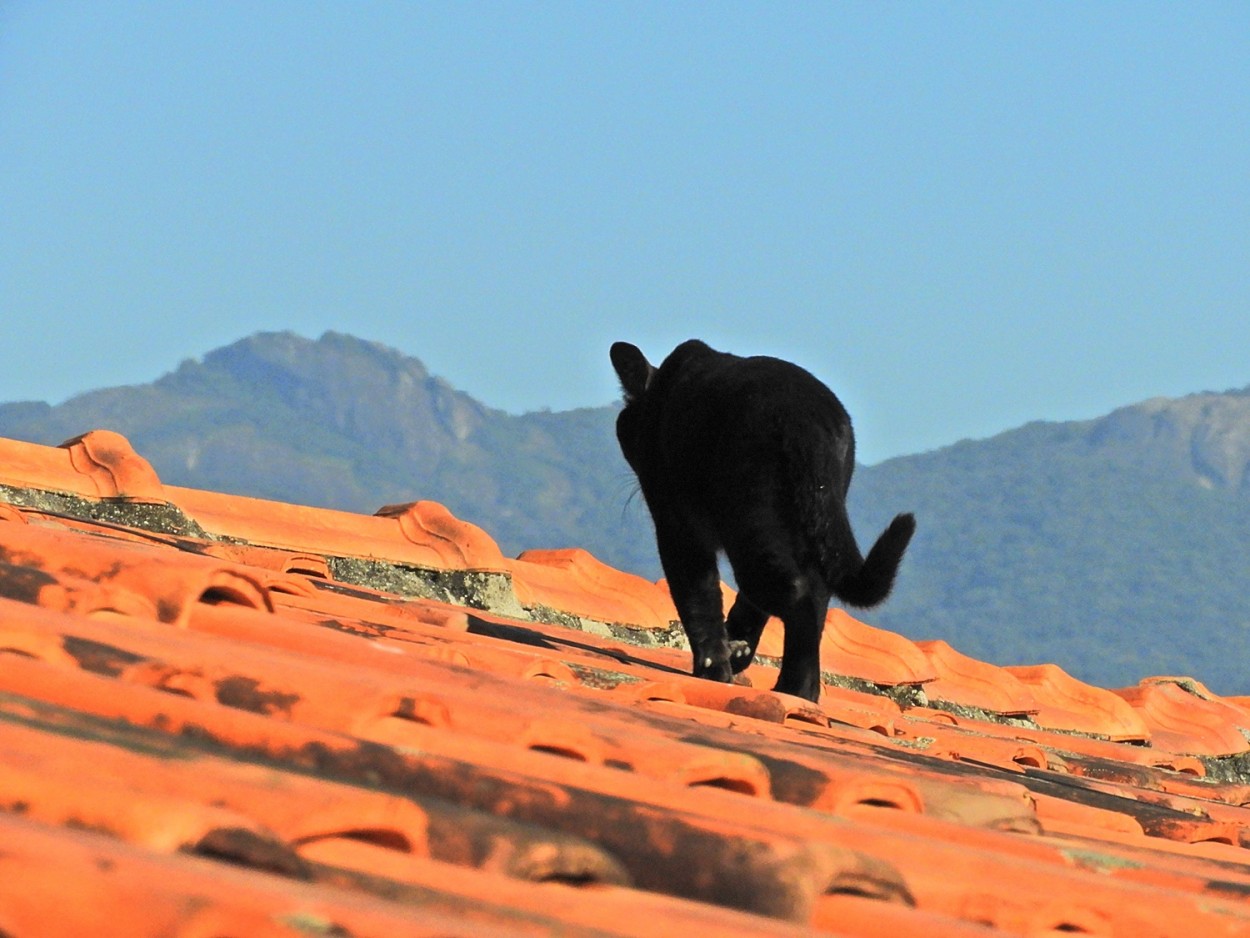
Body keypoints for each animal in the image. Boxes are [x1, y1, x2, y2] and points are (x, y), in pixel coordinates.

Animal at [610, 342, 915, 700]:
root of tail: (811, 420)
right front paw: (736, 649)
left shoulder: (677, 527)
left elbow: (697, 597)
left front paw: (715, 667)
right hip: (808, 529)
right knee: (815, 592)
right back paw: (797, 688)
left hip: (750, 524)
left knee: (797, 593)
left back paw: (793, 687)